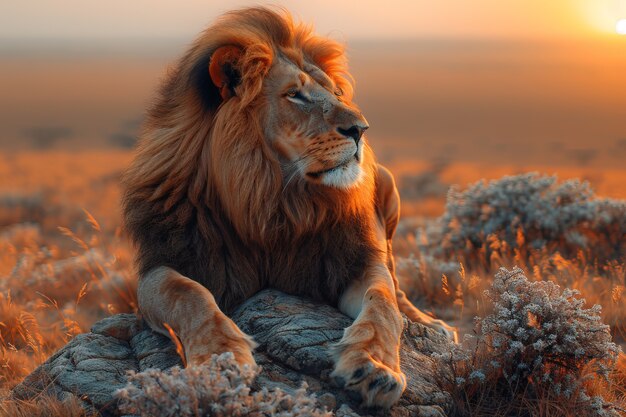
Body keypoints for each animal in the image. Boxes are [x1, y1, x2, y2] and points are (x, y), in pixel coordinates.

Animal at [122, 6, 454, 408]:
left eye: (336, 92)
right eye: (295, 95)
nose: (361, 128)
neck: (271, 200)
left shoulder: (351, 260)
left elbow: (383, 302)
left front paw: (374, 369)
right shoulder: (163, 264)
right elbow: (190, 295)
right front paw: (220, 360)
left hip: (389, 187)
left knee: (396, 280)